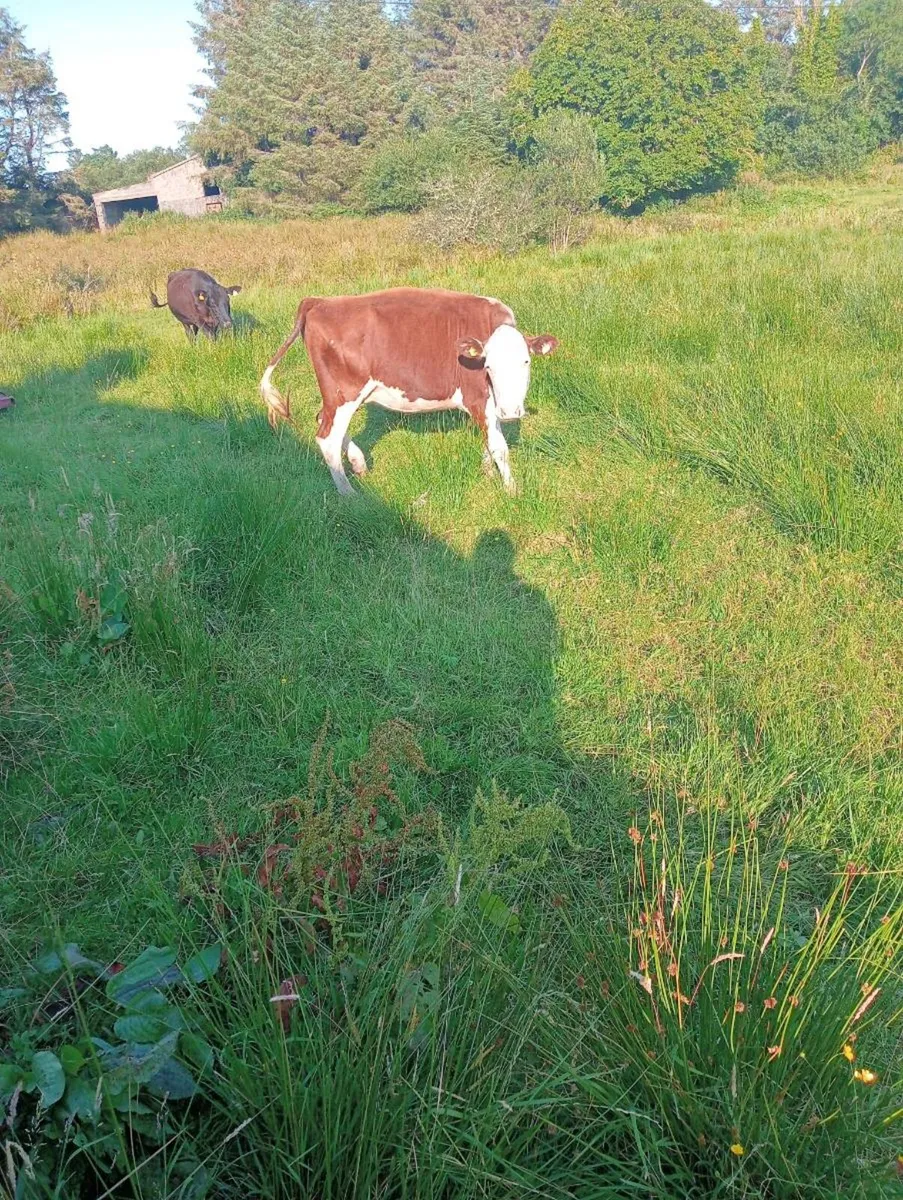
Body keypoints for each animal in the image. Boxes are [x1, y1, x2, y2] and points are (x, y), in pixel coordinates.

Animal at [258, 287, 558, 495]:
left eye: (526, 361)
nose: (511, 410)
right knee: (327, 437)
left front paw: (488, 472)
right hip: (345, 391)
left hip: (338, 394)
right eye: (488, 365)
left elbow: (491, 439)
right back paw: (348, 493)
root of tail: (320, 302)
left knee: (324, 420)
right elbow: (499, 446)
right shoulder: (477, 397)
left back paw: (357, 462)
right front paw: (513, 491)